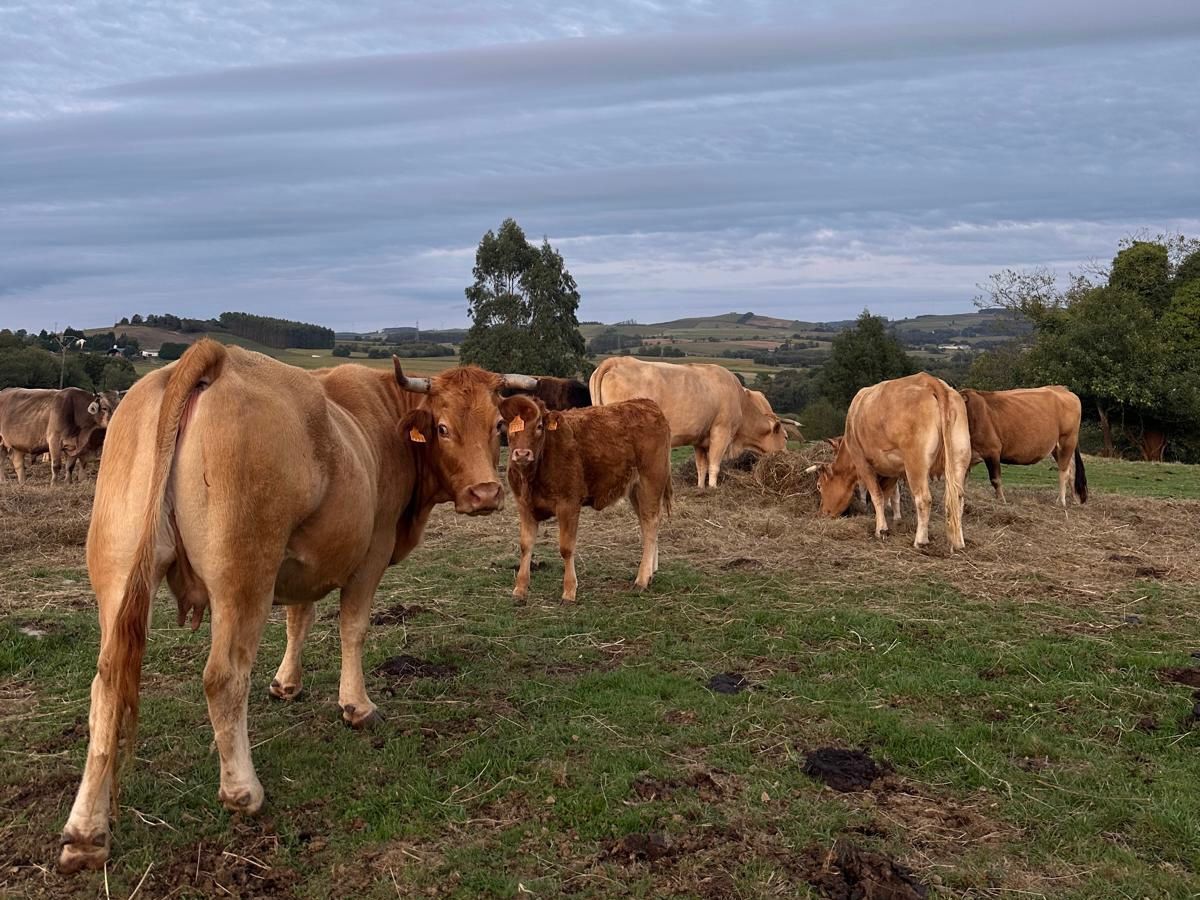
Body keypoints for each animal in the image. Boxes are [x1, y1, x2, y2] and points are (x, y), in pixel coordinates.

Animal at [59, 339, 538, 874]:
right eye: (442, 427)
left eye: (497, 426)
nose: (486, 493)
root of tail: (213, 356)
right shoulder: (371, 552)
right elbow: (353, 627)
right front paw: (357, 706)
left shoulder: (302, 562)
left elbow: (298, 620)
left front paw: (286, 683)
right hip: (244, 576)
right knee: (223, 677)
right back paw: (242, 790)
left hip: (119, 573)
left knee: (106, 684)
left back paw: (85, 831)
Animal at [501, 395, 672, 602]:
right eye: (509, 426)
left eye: (539, 425)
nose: (522, 454)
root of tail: (646, 403)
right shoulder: (524, 506)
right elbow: (525, 545)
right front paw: (520, 588)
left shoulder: (568, 505)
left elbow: (566, 548)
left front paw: (569, 590)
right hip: (635, 489)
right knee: (647, 523)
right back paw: (651, 571)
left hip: (651, 481)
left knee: (650, 523)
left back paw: (642, 579)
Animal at [588, 357, 798, 488]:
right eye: (786, 437)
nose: (788, 459)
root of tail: (617, 361)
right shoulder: (721, 432)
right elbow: (714, 464)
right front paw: (713, 488)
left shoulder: (700, 440)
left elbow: (701, 466)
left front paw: (700, 487)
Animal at [810, 373, 970, 550]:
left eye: (819, 486)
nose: (822, 513)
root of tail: (930, 381)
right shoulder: (893, 471)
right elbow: (888, 495)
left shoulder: (862, 463)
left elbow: (877, 495)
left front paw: (881, 529)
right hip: (959, 458)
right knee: (958, 498)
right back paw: (958, 542)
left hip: (916, 463)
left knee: (923, 499)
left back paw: (920, 541)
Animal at [959, 387, 1087, 506]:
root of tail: (1063, 389)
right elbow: (962, 480)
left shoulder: (992, 451)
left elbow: (995, 480)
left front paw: (1002, 501)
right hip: (1057, 447)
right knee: (1071, 468)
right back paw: (1074, 500)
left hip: (1067, 439)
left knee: (1064, 471)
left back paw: (1061, 501)